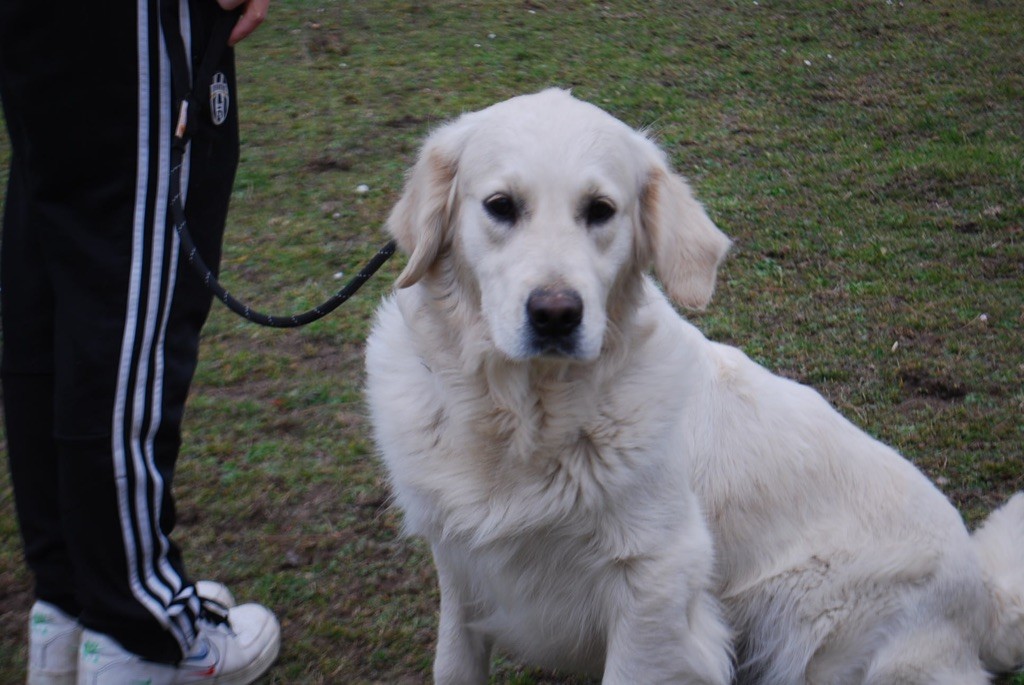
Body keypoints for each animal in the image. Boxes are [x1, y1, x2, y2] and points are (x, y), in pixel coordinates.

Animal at [364, 90, 1019, 683]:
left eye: (600, 210)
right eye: (500, 205)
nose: (556, 315)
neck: (525, 416)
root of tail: (982, 595)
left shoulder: (657, 583)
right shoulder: (461, 566)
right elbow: (454, 662)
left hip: (813, 625)